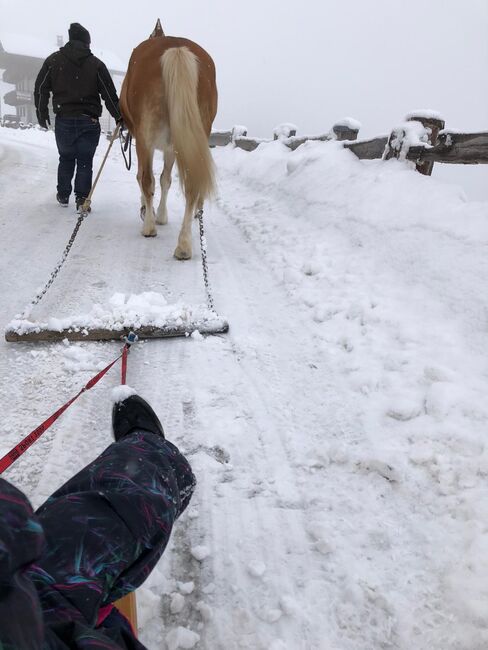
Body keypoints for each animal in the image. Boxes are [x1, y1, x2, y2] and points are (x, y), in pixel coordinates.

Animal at [120, 20, 217, 258]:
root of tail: (176, 48)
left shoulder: (147, 143)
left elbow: (146, 178)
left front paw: (151, 214)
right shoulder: (172, 148)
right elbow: (166, 179)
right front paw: (161, 215)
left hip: (145, 139)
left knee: (146, 179)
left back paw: (149, 228)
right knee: (191, 186)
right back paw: (184, 246)